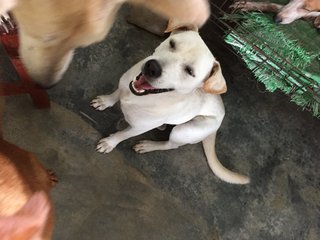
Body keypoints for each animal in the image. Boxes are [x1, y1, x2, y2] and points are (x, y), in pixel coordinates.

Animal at [91, 29, 249, 184]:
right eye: (172, 43)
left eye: (190, 71)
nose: (152, 67)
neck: (141, 97)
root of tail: (222, 114)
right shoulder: (124, 85)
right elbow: (116, 94)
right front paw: (105, 101)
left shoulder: (138, 128)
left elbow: (122, 134)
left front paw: (110, 143)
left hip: (183, 131)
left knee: (171, 145)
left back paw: (148, 146)